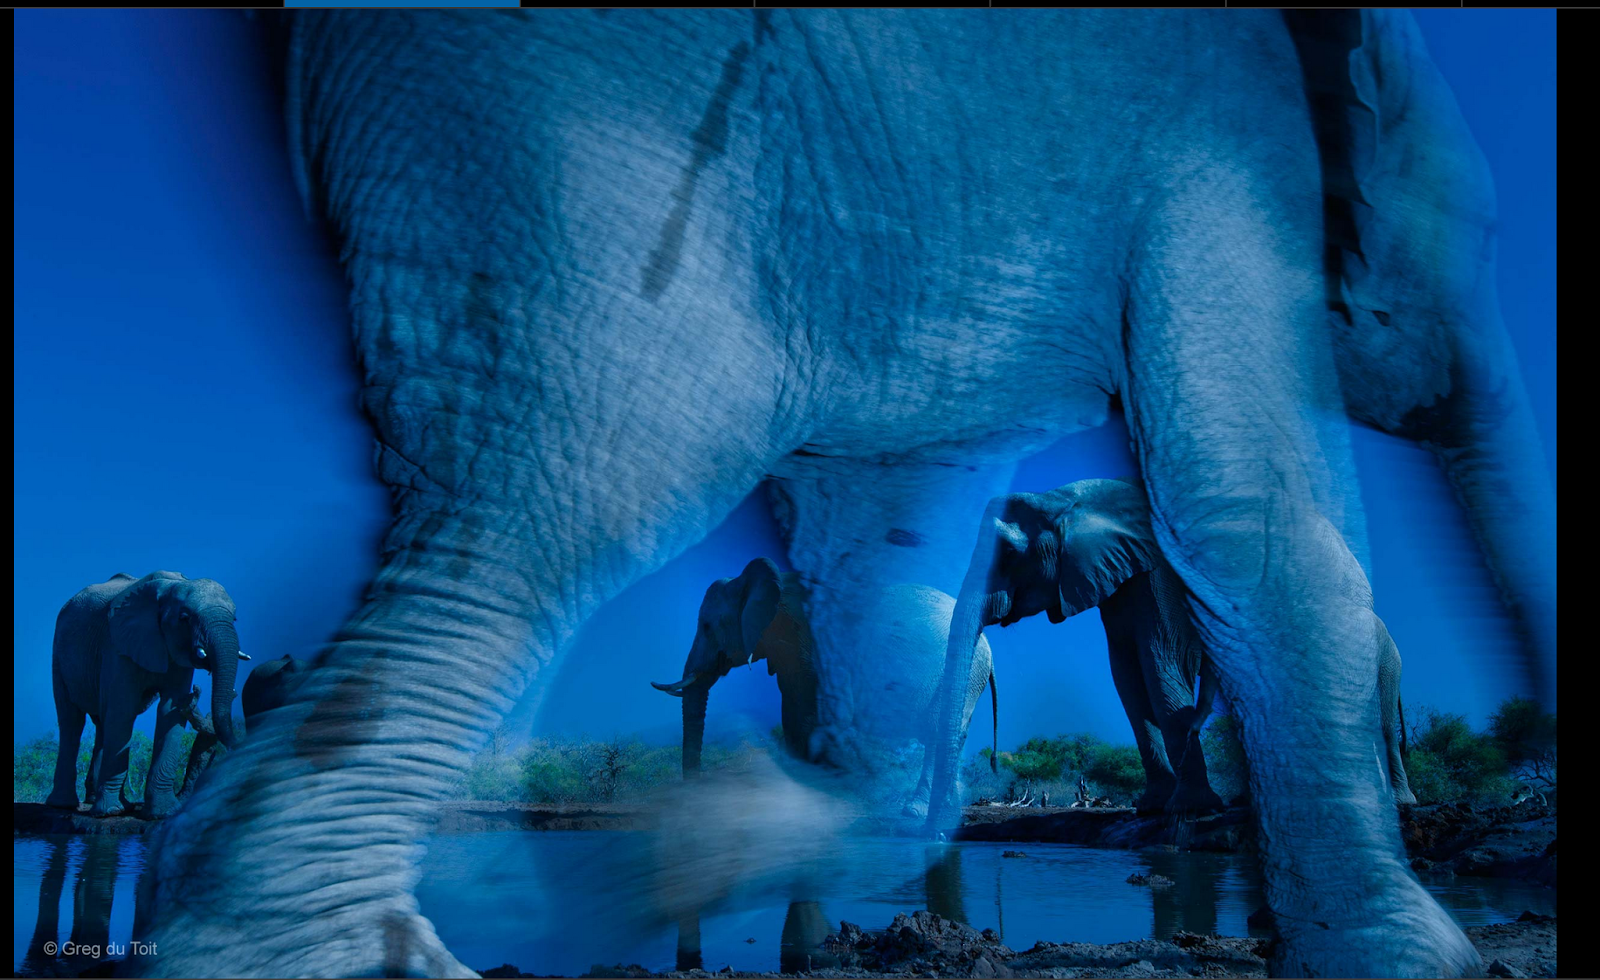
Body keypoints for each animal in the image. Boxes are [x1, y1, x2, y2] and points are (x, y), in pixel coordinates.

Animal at [46, 573, 244, 819]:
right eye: (184, 618)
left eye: (234, 618)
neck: (171, 587)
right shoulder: (117, 646)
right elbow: (123, 709)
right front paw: (110, 813)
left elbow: (170, 710)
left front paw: (163, 813)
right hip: (59, 655)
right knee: (72, 721)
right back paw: (65, 805)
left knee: (102, 721)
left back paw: (108, 802)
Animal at [646, 554, 992, 791]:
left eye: (706, 626)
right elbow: (793, 718)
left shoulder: (813, 649)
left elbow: (816, 719)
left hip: (966, 672)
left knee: (938, 731)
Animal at [940, 477, 1420, 816]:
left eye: (1007, 553)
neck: (1073, 498)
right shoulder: (1121, 581)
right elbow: (1127, 673)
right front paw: (1152, 808)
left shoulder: (1165, 578)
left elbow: (1159, 661)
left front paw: (1190, 808)